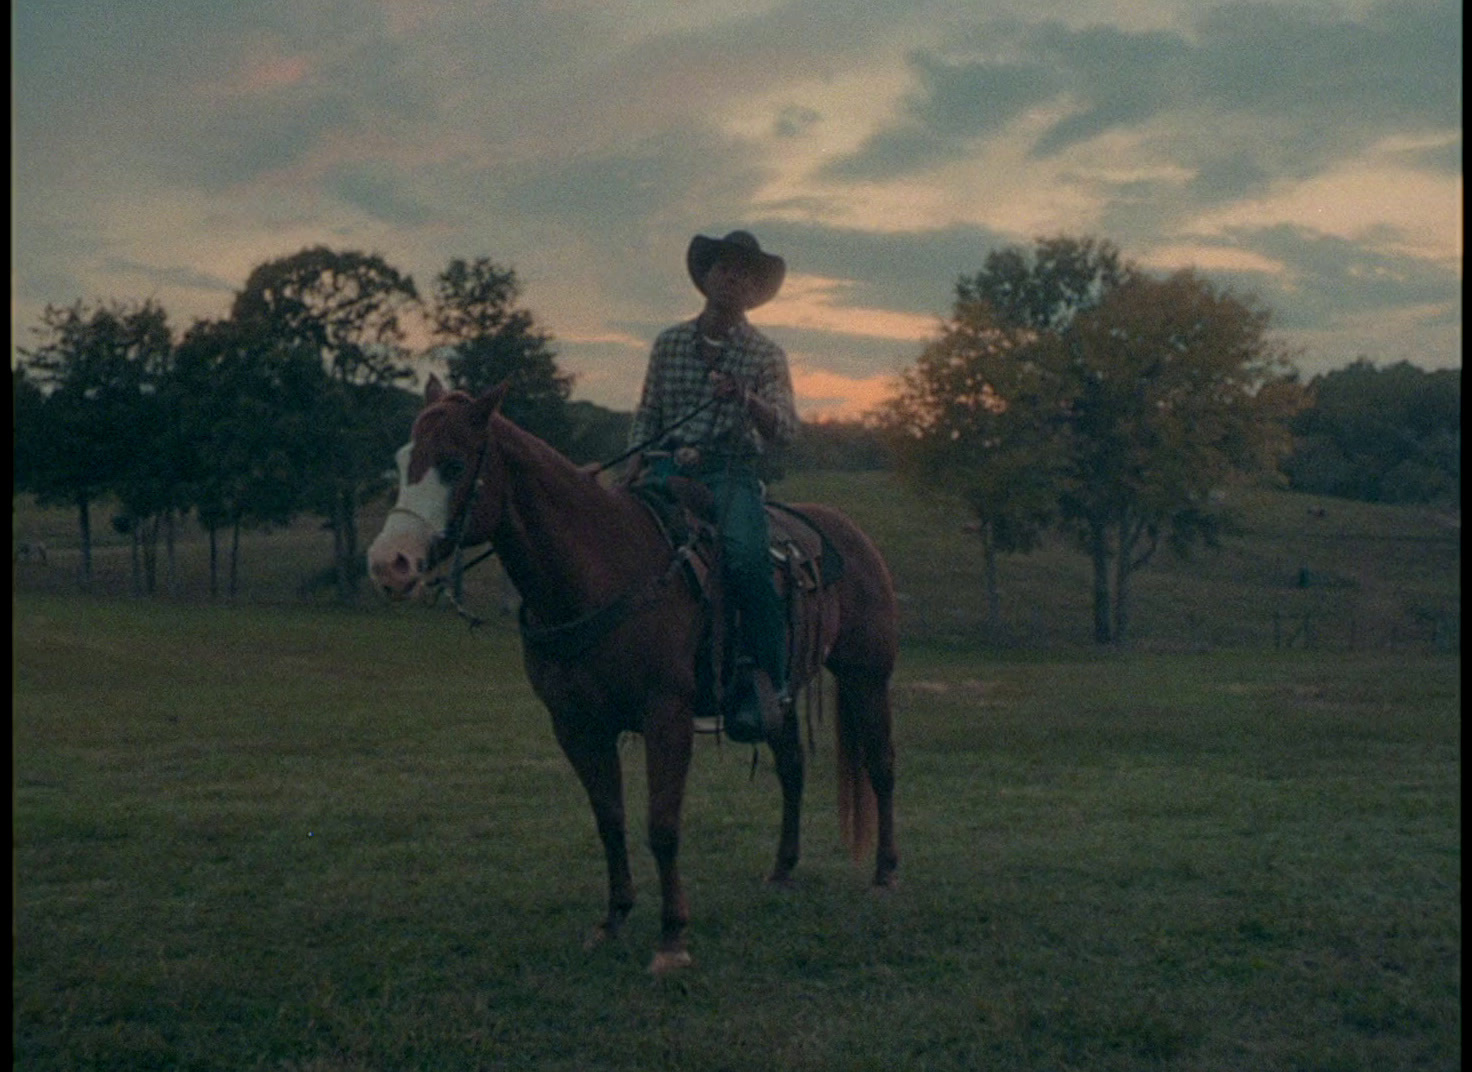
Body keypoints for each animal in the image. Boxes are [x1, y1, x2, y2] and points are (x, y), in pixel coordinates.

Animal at [368, 375, 894, 971]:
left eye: (454, 464)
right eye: (402, 459)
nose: (388, 564)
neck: (598, 572)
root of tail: (849, 533)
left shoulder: (667, 715)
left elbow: (661, 826)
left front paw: (671, 939)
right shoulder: (575, 725)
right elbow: (610, 820)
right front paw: (614, 919)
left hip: (868, 676)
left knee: (881, 767)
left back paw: (884, 875)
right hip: (775, 699)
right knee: (793, 769)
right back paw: (782, 870)